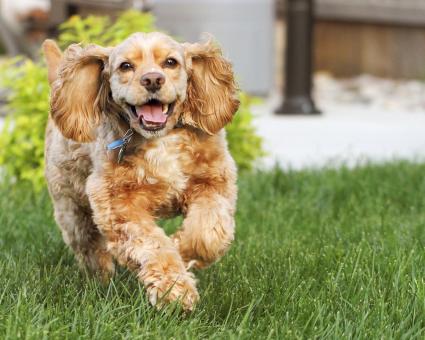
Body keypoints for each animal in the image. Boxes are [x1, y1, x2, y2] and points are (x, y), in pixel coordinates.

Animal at [43, 32, 240, 310]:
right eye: (126, 66)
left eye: (170, 62)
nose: (153, 79)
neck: (161, 140)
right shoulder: (117, 203)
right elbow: (152, 244)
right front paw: (174, 291)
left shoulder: (214, 180)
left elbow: (208, 232)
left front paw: (183, 250)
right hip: (71, 206)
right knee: (89, 246)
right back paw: (101, 280)